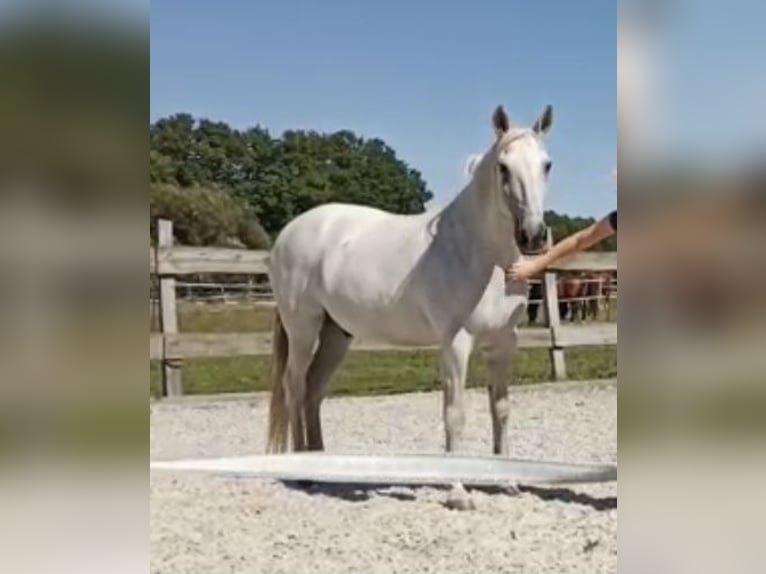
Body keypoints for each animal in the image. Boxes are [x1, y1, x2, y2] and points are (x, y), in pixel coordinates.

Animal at [265, 104, 554, 510]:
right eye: (503, 166)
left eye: (546, 165)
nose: (533, 236)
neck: (475, 252)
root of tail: (289, 233)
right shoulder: (455, 344)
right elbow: (455, 415)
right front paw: (458, 493)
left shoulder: (503, 344)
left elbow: (501, 410)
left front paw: (509, 482)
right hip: (303, 330)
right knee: (294, 387)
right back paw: (302, 471)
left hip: (337, 334)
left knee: (312, 391)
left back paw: (323, 464)